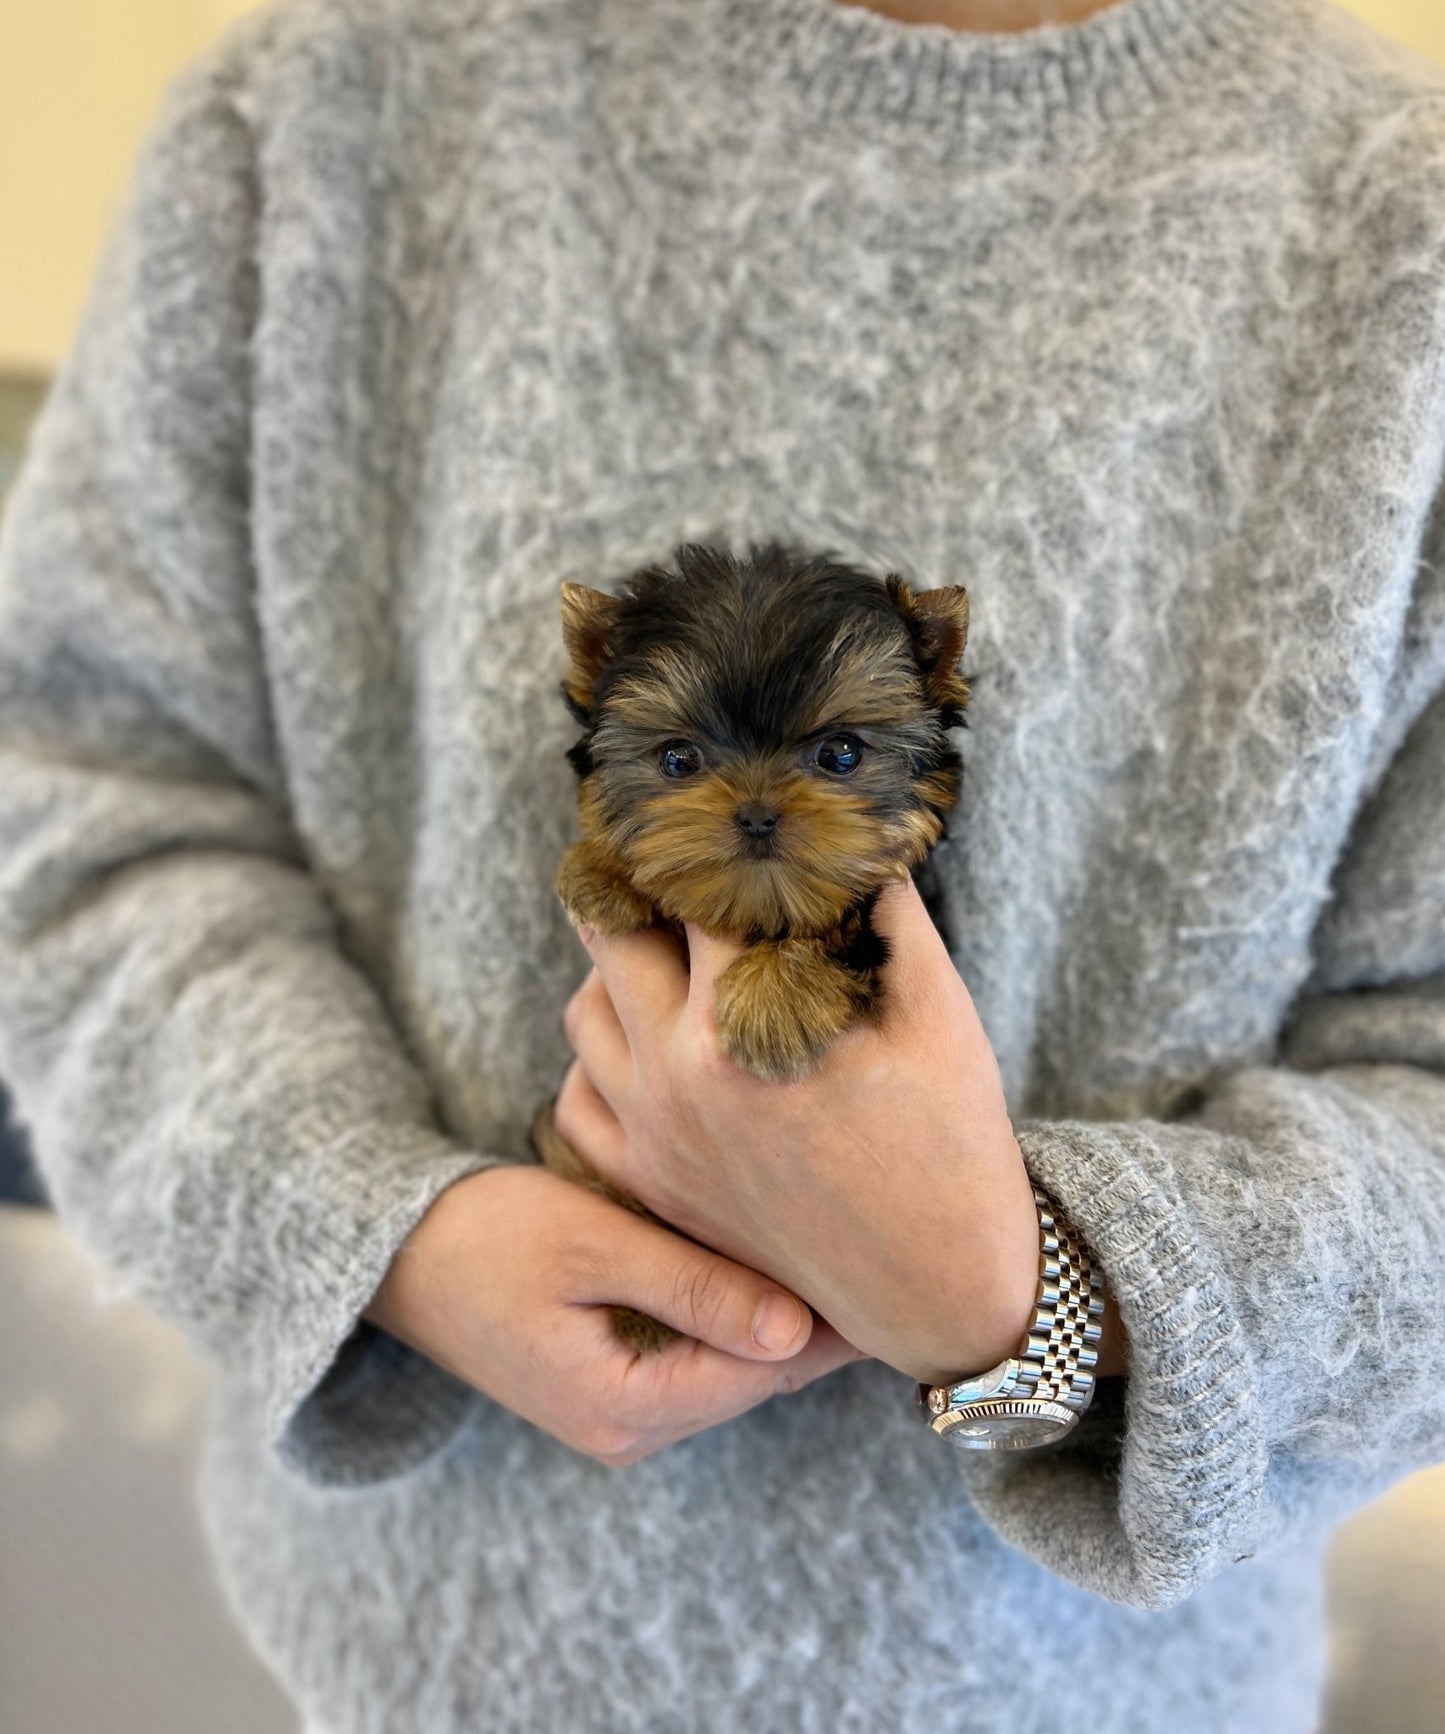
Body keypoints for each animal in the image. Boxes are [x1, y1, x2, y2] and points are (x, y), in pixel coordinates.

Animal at [534, 547, 971, 1345]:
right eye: (678, 761)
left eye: (840, 754)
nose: (759, 813)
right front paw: (603, 870)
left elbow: (843, 925)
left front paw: (775, 997)